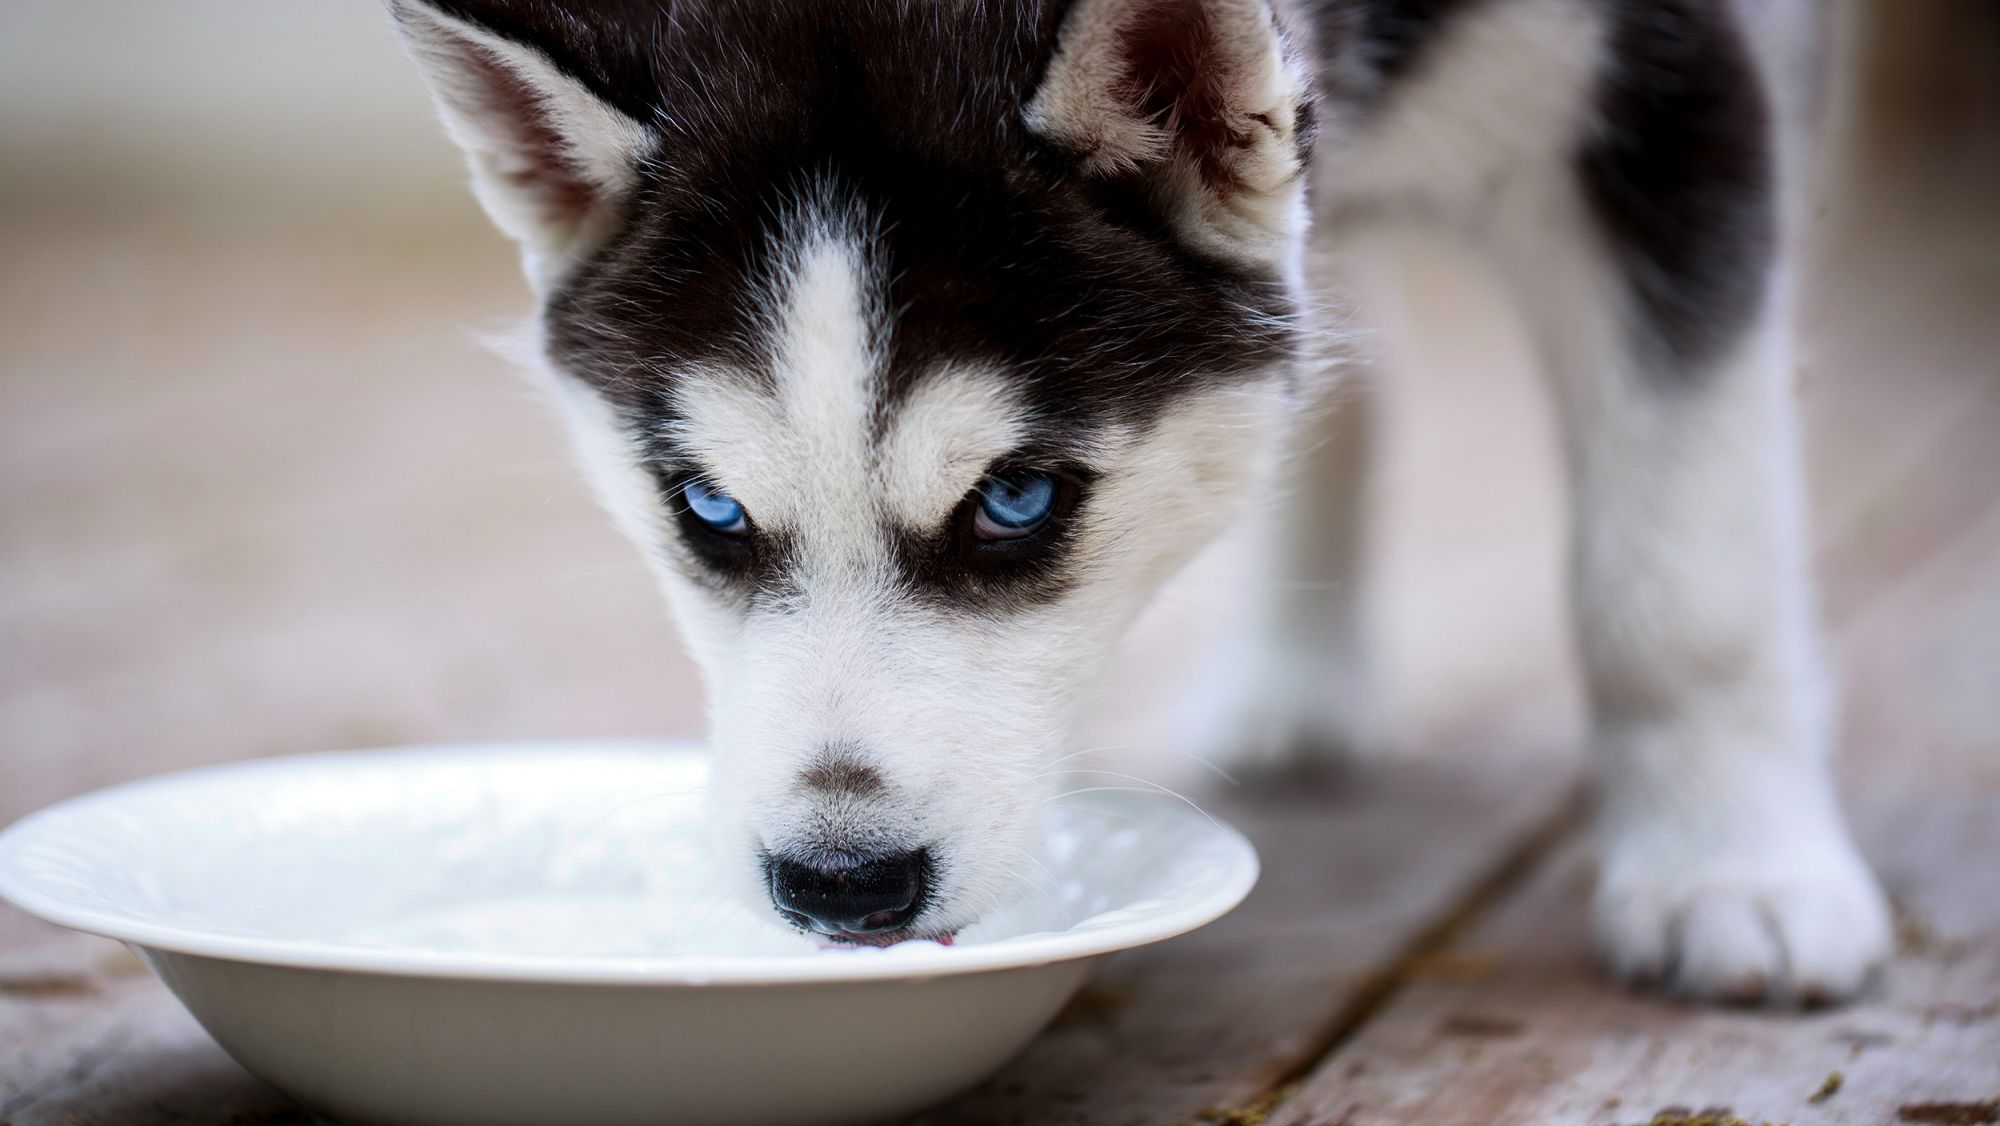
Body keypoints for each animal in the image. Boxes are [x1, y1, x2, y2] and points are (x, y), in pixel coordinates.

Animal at [390, 0, 1888, 1004]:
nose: (839, 885)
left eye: (1014, 498)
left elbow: (1680, 575)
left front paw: (1734, 868)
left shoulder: (1672, 105)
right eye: (706, 508)